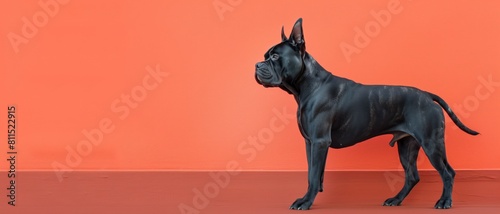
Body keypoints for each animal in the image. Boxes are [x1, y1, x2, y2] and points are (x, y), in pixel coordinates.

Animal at [256, 18, 478, 209]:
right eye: (265, 56)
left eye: (275, 56)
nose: (257, 65)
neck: (307, 85)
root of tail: (427, 95)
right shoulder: (310, 143)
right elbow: (313, 173)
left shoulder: (319, 142)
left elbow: (313, 176)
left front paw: (305, 202)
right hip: (407, 145)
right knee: (412, 176)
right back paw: (396, 200)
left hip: (432, 144)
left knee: (447, 173)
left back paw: (444, 201)